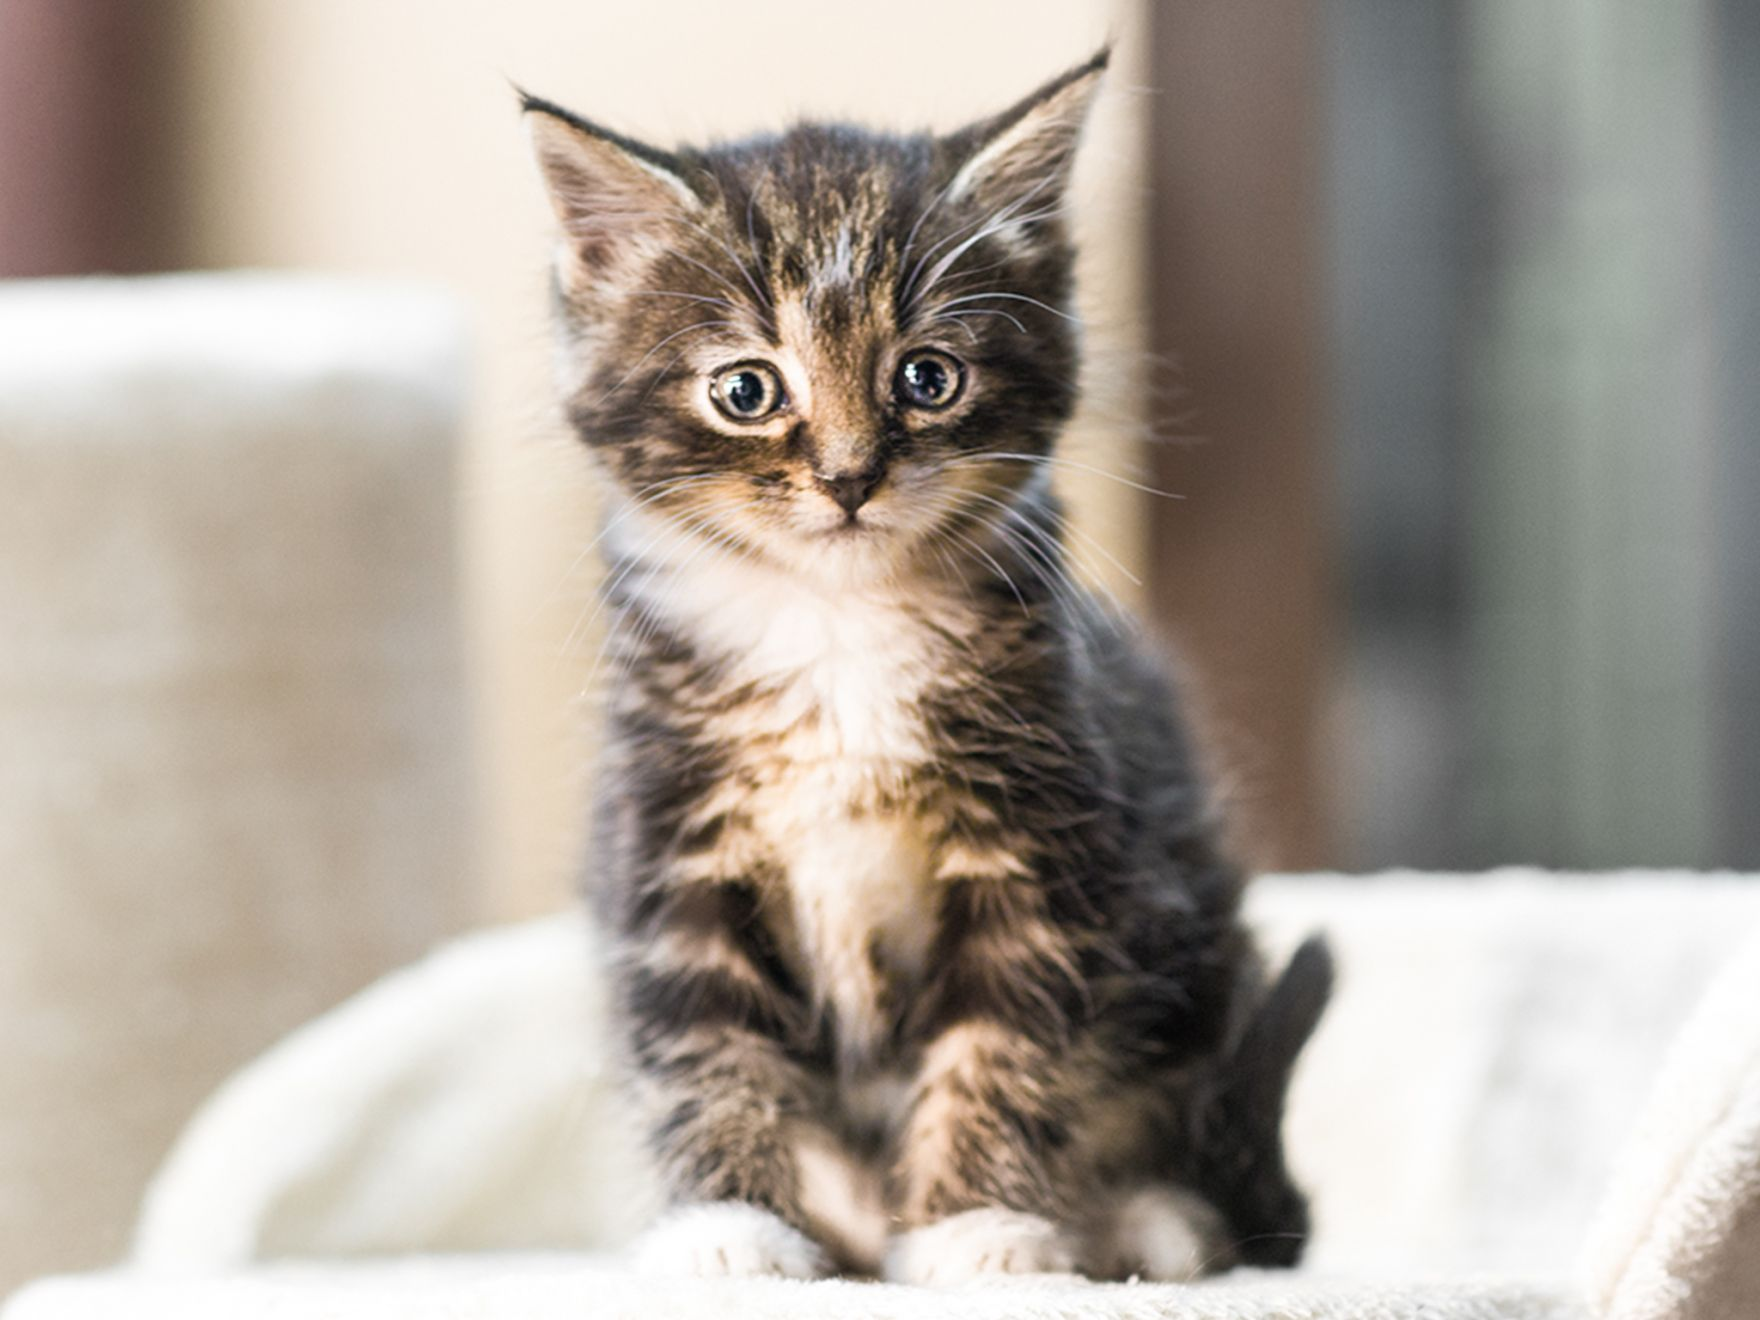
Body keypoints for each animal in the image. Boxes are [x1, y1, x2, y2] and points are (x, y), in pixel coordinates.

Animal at [520, 49, 1330, 1281]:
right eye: (746, 390)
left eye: (927, 379)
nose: (851, 477)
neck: (837, 635)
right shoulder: (669, 853)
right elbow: (708, 1054)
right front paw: (730, 1228)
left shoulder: (1044, 852)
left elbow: (1001, 1050)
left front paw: (977, 1229)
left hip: (1197, 951)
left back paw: (1146, 1224)